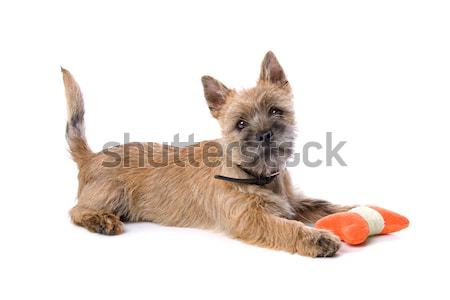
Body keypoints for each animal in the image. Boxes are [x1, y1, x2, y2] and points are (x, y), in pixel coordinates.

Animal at [62, 52, 352, 258]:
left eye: (275, 111)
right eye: (240, 124)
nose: (265, 135)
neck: (255, 175)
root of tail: (91, 157)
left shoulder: (292, 202)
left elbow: (322, 205)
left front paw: (351, 209)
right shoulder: (250, 219)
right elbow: (285, 227)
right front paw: (316, 238)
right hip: (112, 192)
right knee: (76, 210)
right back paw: (100, 220)